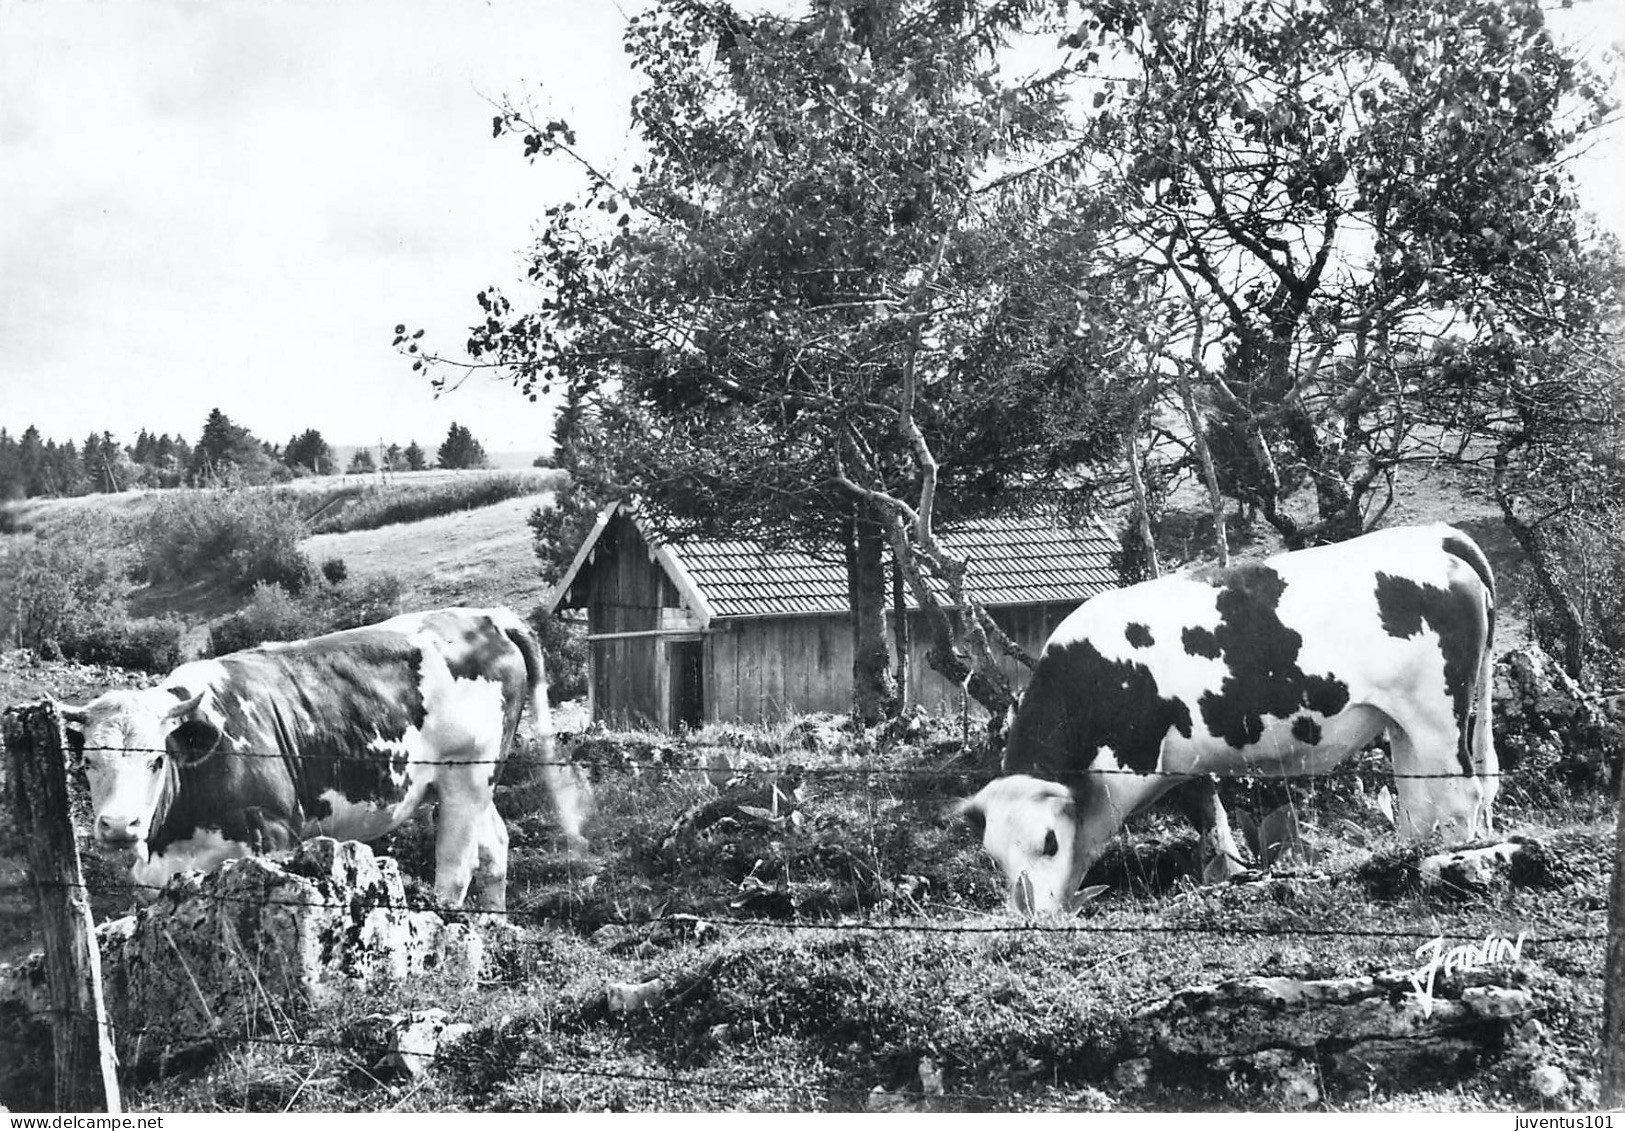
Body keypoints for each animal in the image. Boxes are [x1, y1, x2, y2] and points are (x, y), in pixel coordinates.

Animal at [61, 601, 585, 910]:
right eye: (87, 762)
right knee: (495, 846)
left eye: (156, 759)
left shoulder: (273, 837)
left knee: (457, 868)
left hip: (466, 775)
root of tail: (485, 616)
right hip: (474, 781)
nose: (118, 826)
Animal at [955, 526, 1501, 916]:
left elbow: (1092, 837)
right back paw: (1404, 858)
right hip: (1404, 723)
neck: (1092, 676)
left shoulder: (1128, 767)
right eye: (994, 856)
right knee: (1417, 802)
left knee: (1461, 796)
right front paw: (1230, 876)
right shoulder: (1184, 761)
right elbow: (1211, 821)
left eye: (1048, 843)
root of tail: (1435, 537)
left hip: (1438, 714)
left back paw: (1451, 862)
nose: (1031, 915)